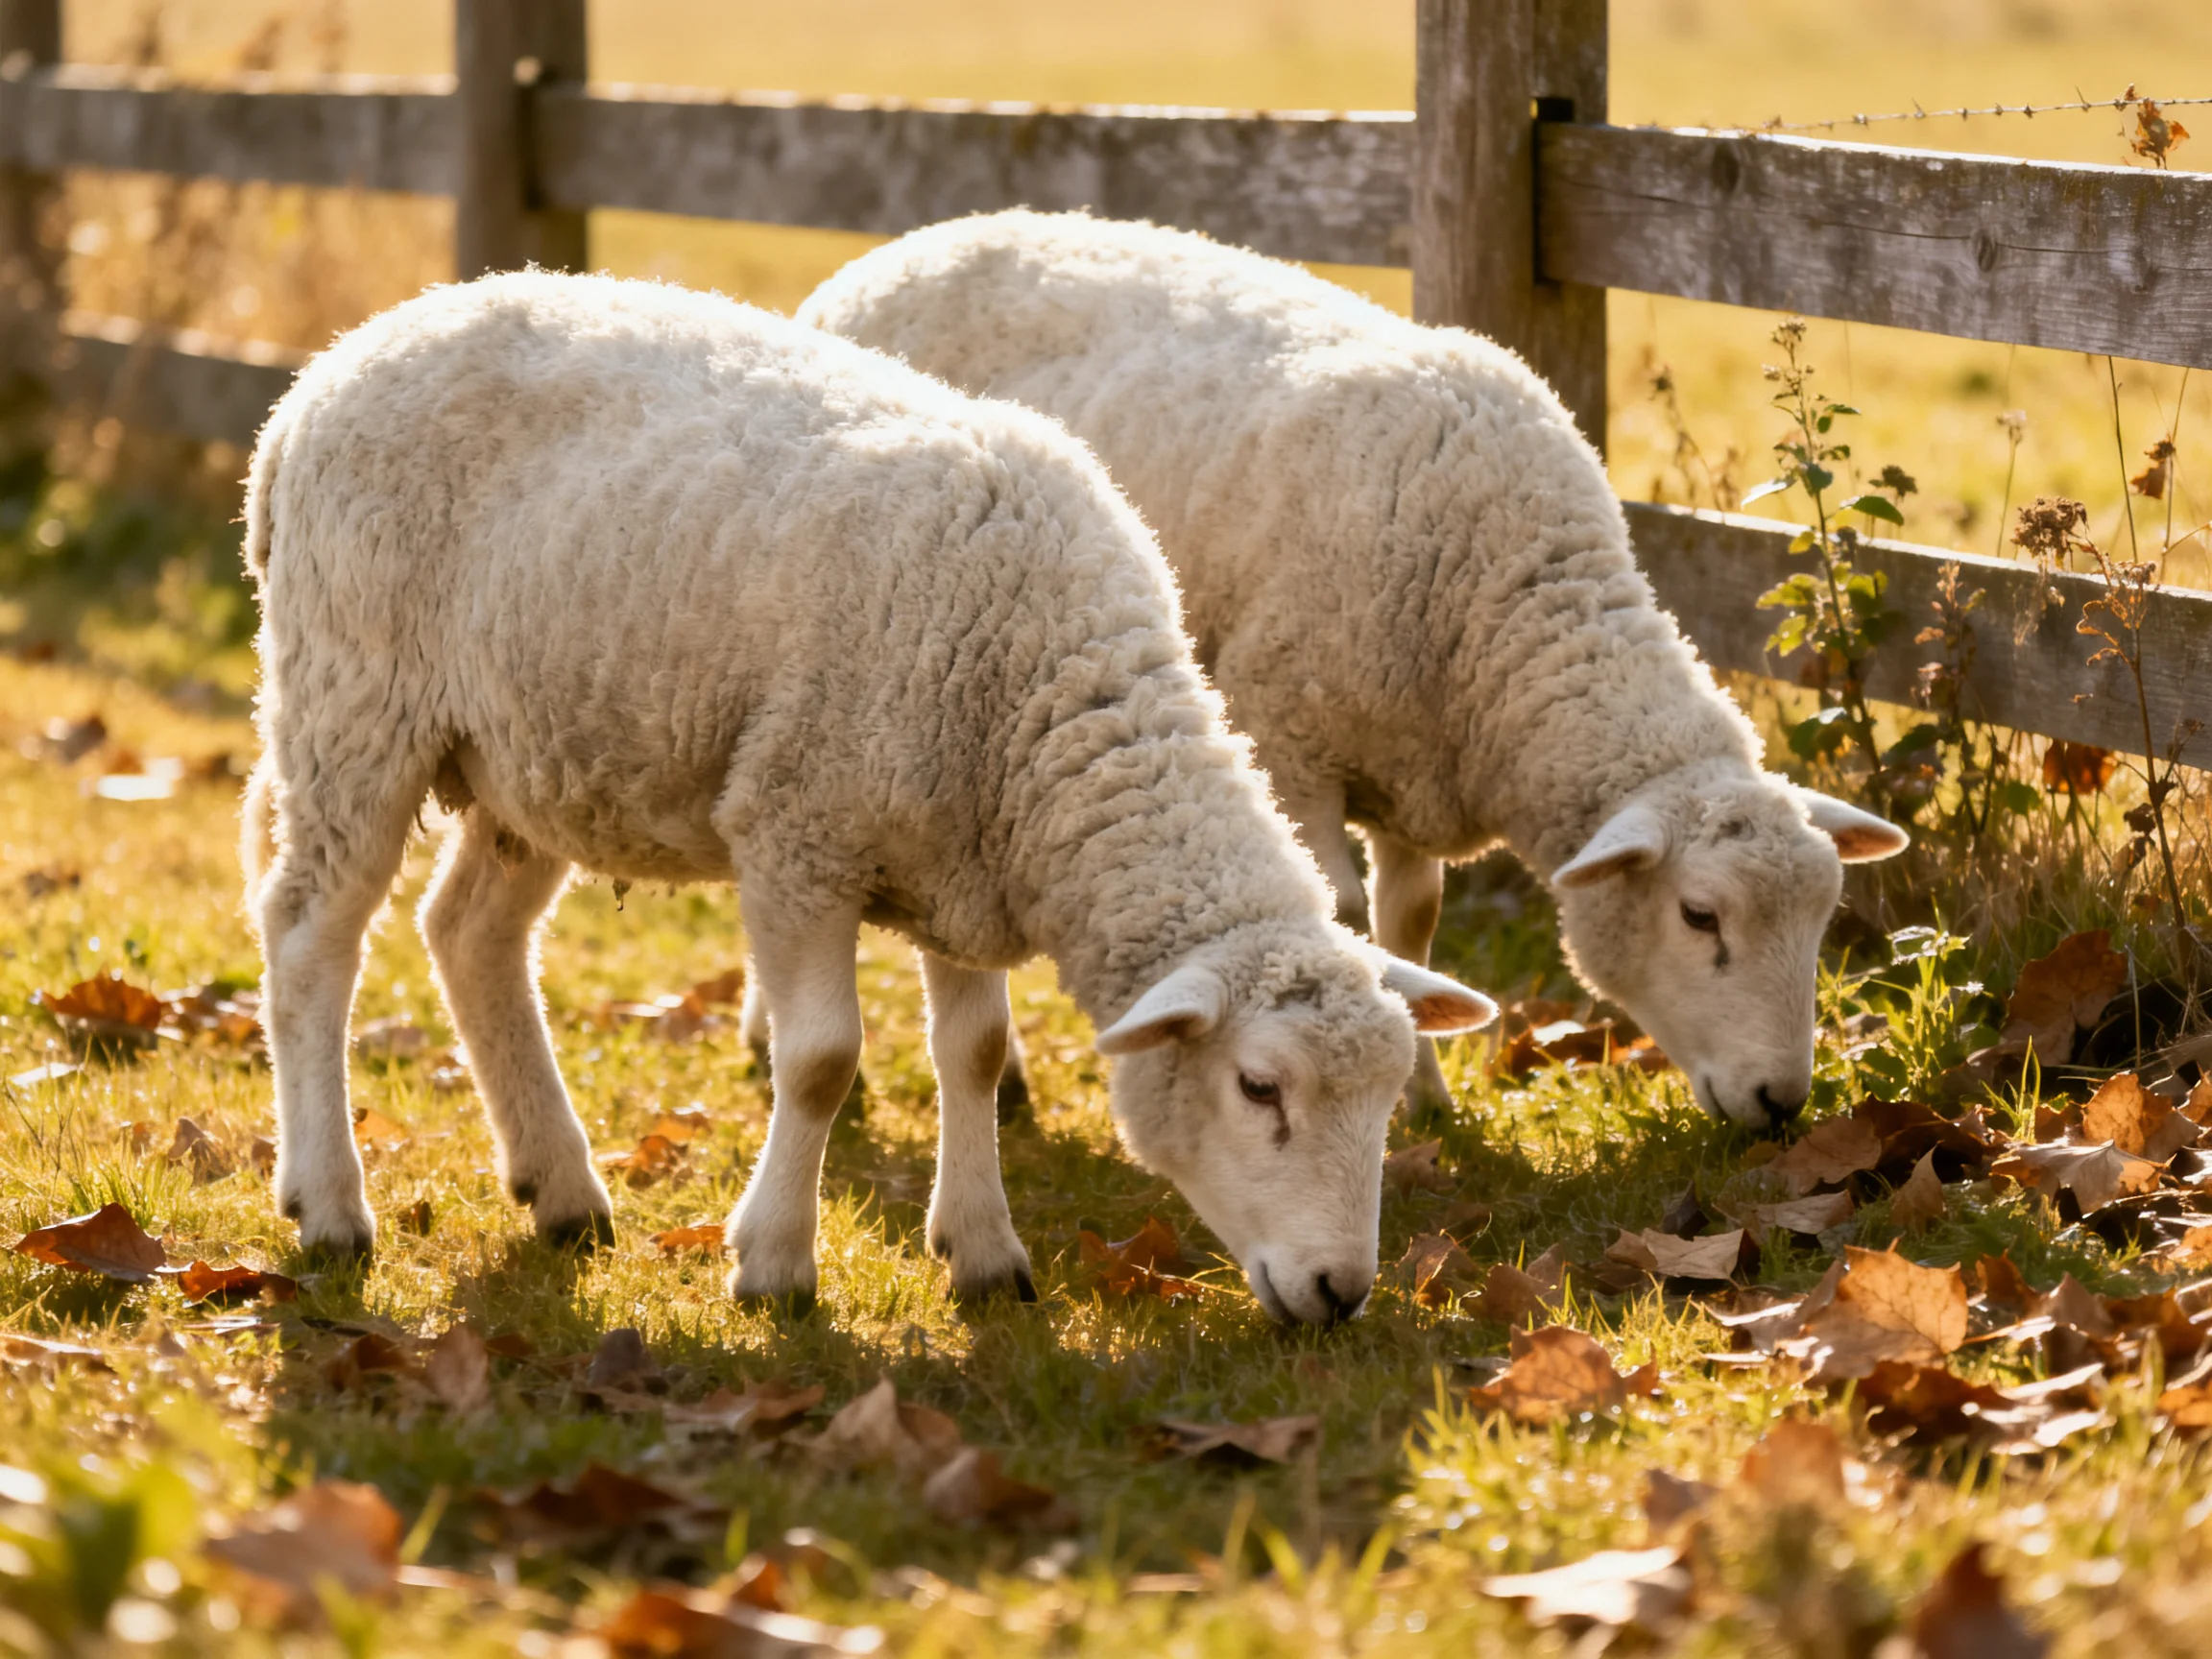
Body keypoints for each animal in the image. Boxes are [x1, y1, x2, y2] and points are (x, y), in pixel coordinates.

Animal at [239, 269, 1496, 1324]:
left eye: (1390, 1094)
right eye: (1258, 1087)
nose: (1341, 1293)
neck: (1040, 699)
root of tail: (319, 383)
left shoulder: (967, 861)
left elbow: (976, 1051)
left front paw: (984, 1253)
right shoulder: (797, 832)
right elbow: (822, 1062)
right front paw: (775, 1266)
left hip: (531, 754)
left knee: (470, 935)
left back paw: (563, 1190)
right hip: (353, 698)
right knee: (309, 936)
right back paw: (331, 1206)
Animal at [799, 211, 1909, 1130]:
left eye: (1824, 921)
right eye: (1699, 916)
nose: (1783, 1105)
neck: (1503, 588)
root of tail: (894, 251)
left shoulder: (1415, 758)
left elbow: (1408, 931)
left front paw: (1424, 1098)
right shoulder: (1290, 735)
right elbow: (1338, 918)